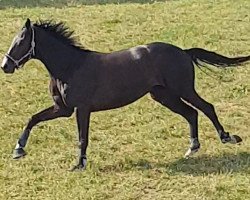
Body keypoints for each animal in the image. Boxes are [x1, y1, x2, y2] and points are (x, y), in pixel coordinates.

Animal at [0, 18, 249, 171]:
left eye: (21, 41)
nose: (5, 66)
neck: (70, 66)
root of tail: (184, 52)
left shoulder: (81, 108)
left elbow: (82, 137)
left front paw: (79, 165)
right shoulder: (64, 109)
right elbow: (33, 118)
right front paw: (18, 150)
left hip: (183, 89)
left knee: (206, 107)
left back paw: (227, 137)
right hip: (163, 95)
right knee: (191, 113)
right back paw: (192, 149)